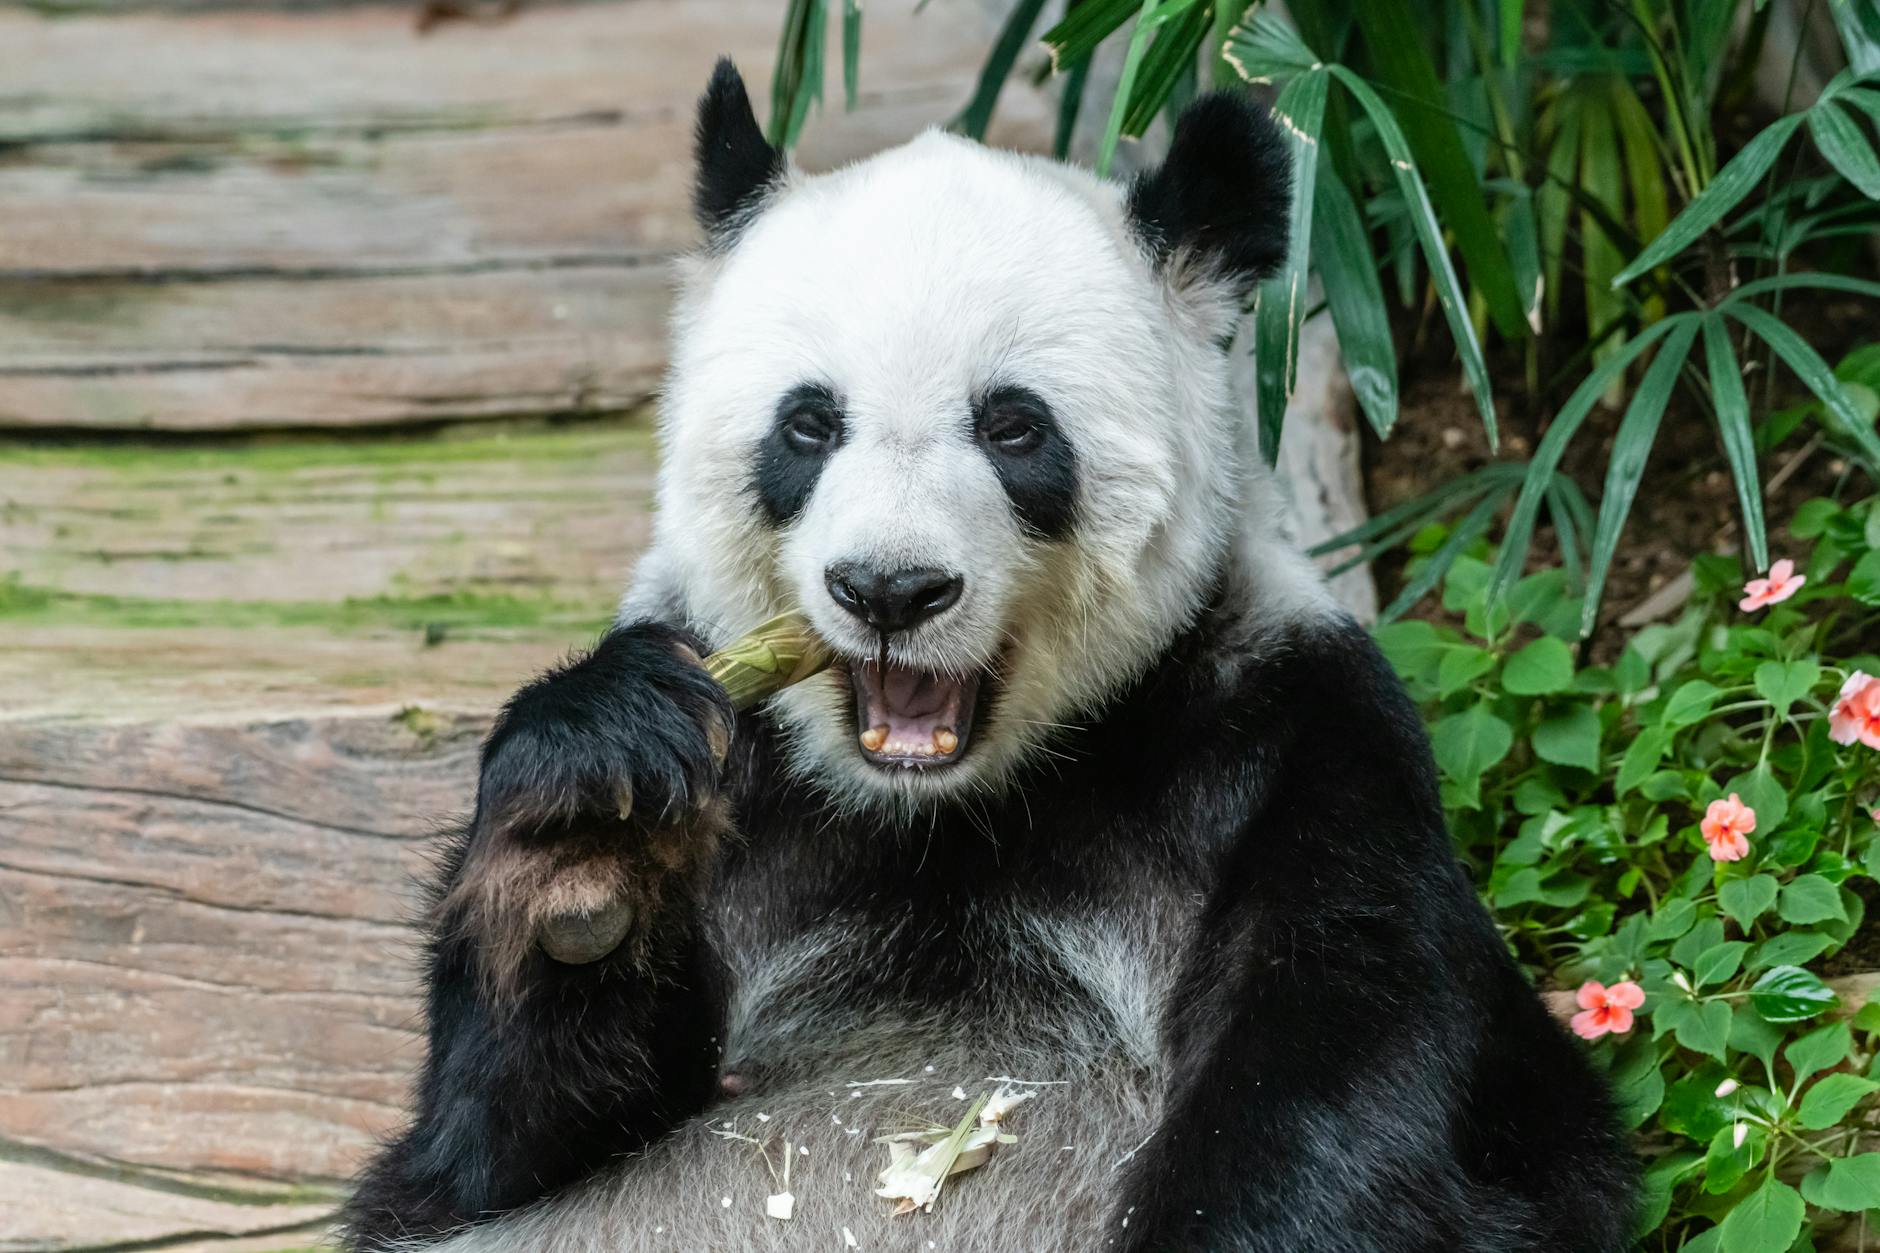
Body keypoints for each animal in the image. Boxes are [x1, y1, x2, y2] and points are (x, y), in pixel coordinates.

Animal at [344, 59, 1637, 1253]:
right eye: (807, 424)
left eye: (1013, 426)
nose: (888, 588)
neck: (947, 808)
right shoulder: (748, 778)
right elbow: (479, 1154)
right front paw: (586, 835)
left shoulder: (1292, 729)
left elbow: (1352, 1079)